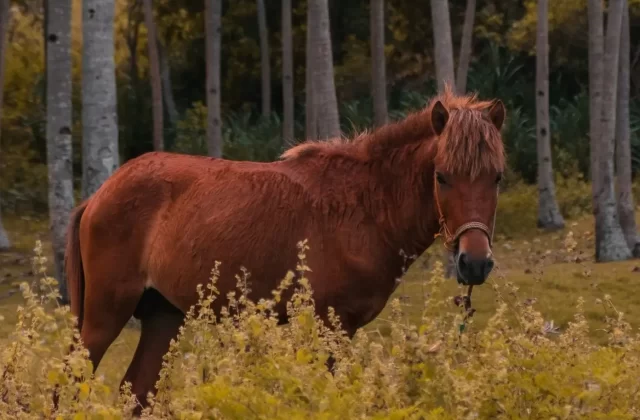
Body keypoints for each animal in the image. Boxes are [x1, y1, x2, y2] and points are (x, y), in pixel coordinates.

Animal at [63, 87, 506, 412]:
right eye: (442, 176)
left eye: (497, 177)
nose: (474, 263)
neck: (361, 207)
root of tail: (99, 195)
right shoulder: (329, 327)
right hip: (105, 315)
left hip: (162, 316)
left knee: (136, 393)